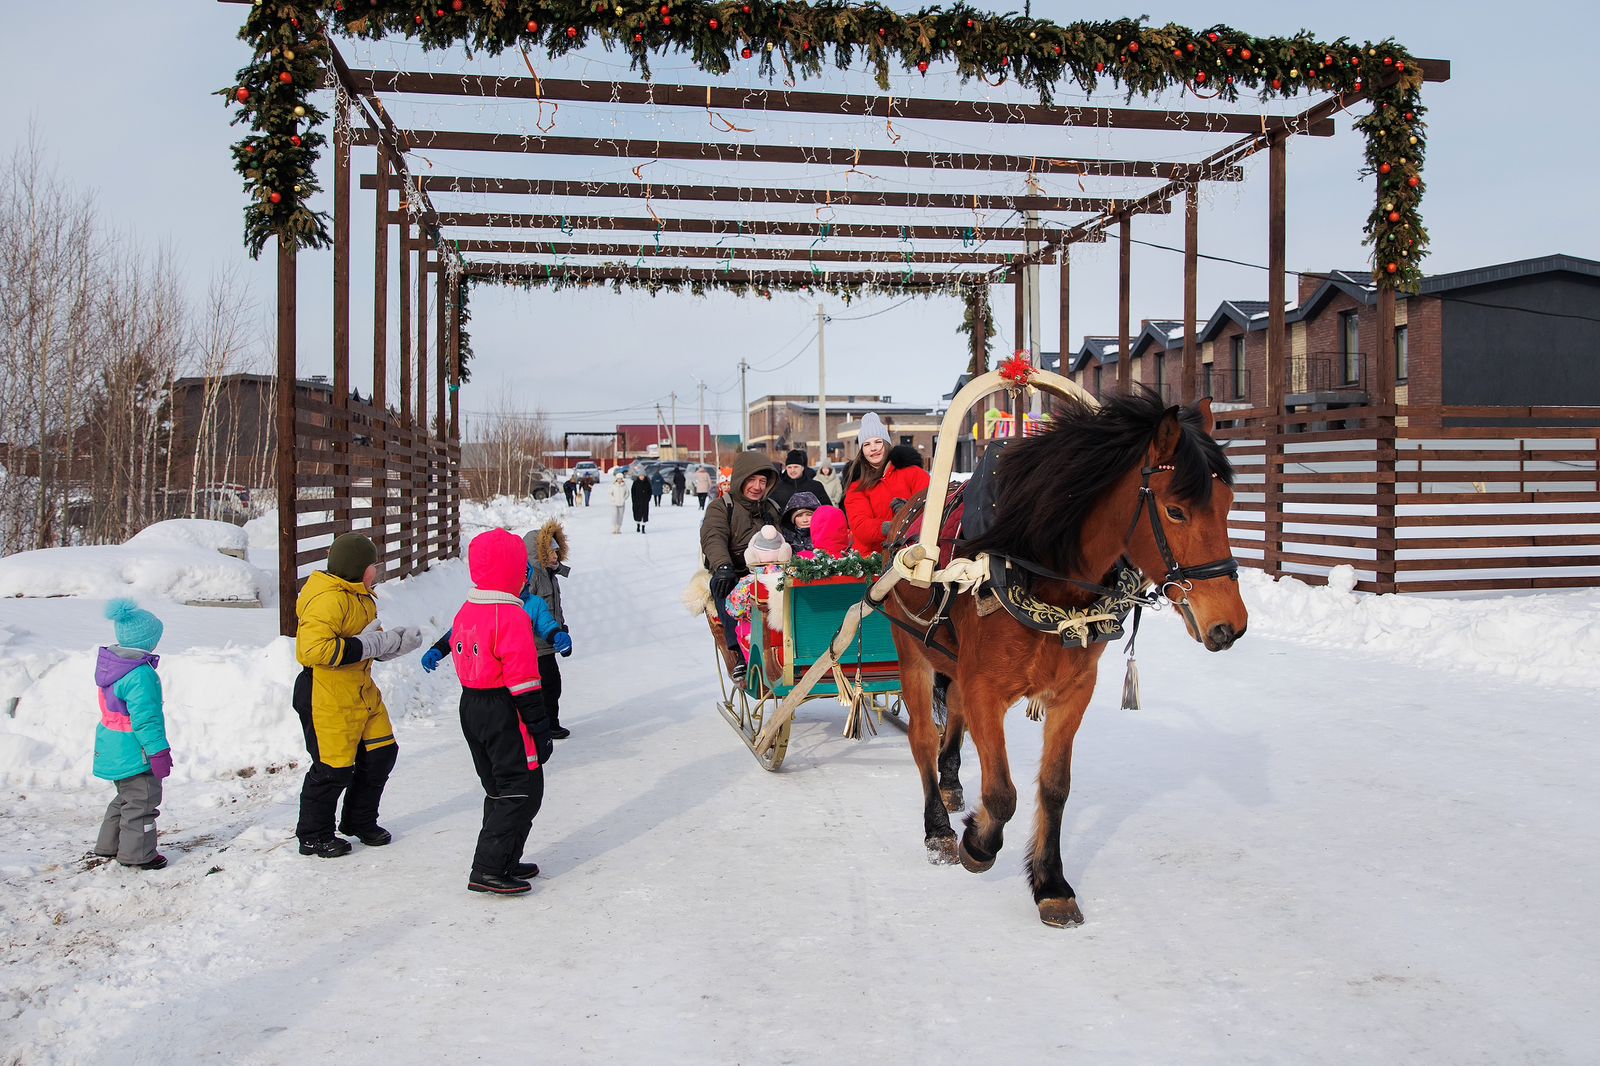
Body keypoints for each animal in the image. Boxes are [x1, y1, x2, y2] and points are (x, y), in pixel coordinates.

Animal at [889, 390, 1248, 921]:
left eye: (1227, 506)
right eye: (1176, 511)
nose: (1230, 625)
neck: (1043, 576)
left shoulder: (1074, 691)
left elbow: (1054, 788)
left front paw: (1051, 883)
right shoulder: (985, 688)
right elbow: (1002, 792)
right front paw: (978, 843)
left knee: (950, 712)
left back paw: (952, 782)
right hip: (909, 646)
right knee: (919, 737)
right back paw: (938, 829)